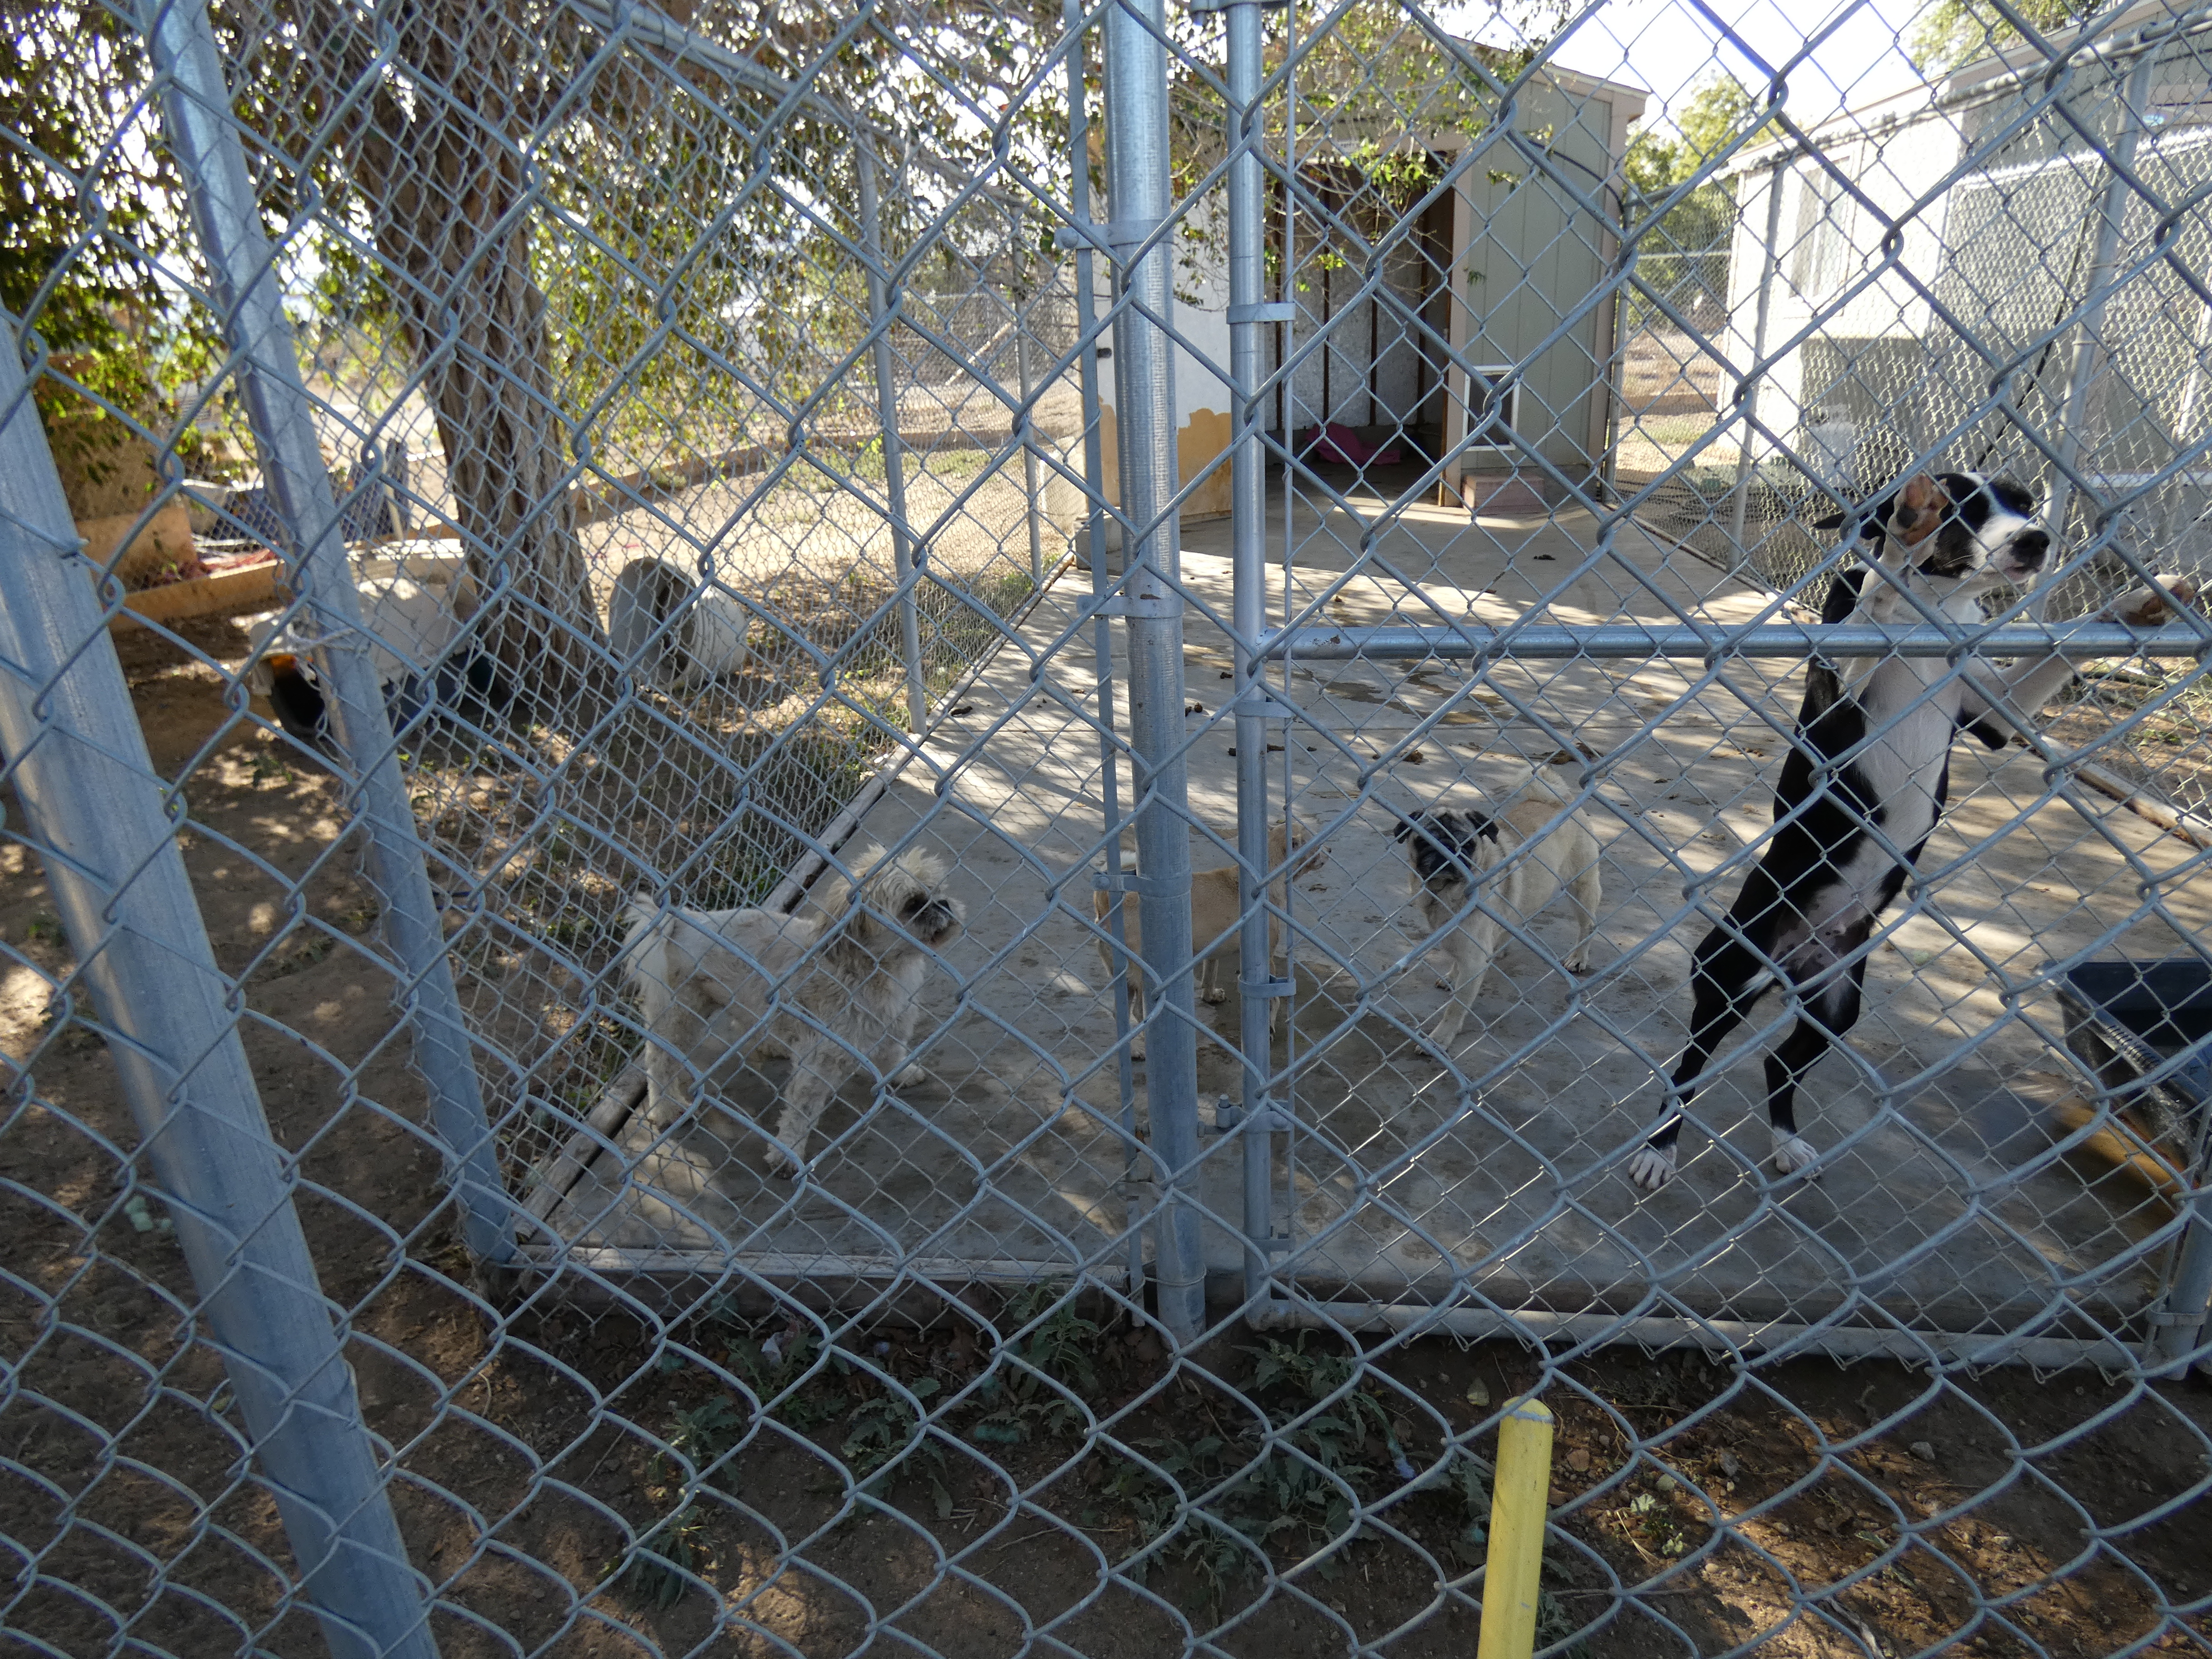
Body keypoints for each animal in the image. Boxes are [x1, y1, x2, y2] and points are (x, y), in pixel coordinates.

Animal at [628, 845, 964, 1186]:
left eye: (938, 891)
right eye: (913, 904)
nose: (945, 904)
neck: (869, 969)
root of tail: (682, 923)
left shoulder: (893, 1024)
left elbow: (892, 1054)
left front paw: (903, 1074)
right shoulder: (818, 1062)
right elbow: (801, 1112)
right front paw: (787, 1154)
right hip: (680, 1015)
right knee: (659, 1061)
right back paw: (666, 1109)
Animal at [1084, 823, 1309, 1066]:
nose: (1327, 851)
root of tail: (1105, 910)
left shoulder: (1212, 951)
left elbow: (1210, 974)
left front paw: (1211, 996)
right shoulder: (1266, 958)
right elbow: (1273, 999)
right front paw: (1268, 1029)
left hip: (1124, 980)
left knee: (1121, 1015)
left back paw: (1134, 1049)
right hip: (1142, 978)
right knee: (1138, 1013)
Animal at [1628, 473, 2194, 1186]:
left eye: (2021, 501)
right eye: (1964, 506)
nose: (2036, 540)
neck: (1935, 611)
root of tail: (1796, 959)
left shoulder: (1996, 714)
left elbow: (2060, 651)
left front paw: (2142, 602)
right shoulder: (1838, 685)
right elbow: (1873, 605)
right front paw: (1905, 534)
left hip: (1836, 1006)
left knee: (1781, 1063)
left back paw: (1788, 1143)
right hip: (1730, 977)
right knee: (1688, 1068)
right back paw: (1658, 1149)